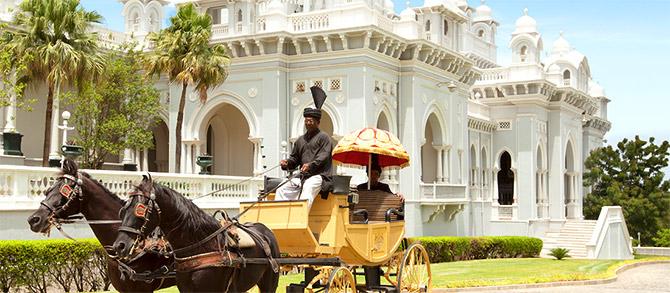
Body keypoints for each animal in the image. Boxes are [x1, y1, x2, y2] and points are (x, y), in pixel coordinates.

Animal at [113, 175, 280, 290]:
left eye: (140, 210)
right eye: (123, 209)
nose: (119, 246)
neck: (202, 245)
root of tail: (265, 230)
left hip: (269, 283)